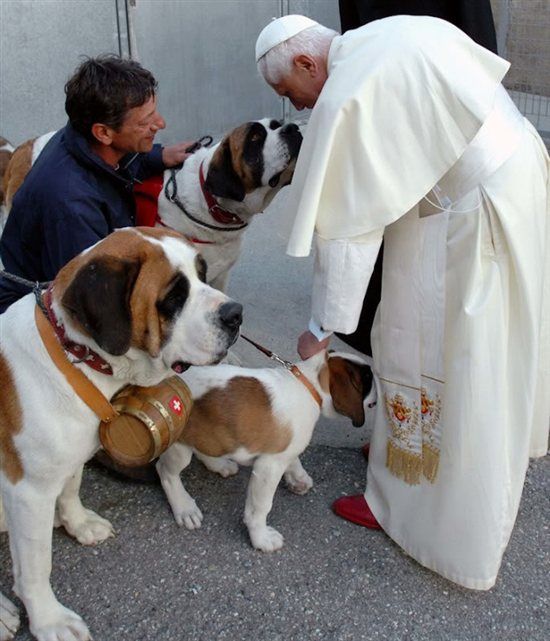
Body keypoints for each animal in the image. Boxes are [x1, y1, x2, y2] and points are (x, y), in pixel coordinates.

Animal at [0, 226, 244, 640]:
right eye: (174, 297)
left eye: (203, 275)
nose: (236, 314)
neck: (76, 356)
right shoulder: (29, 491)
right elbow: (36, 565)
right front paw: (49, 620)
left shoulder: (73, 454)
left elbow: (72, 486)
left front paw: (78, 523)